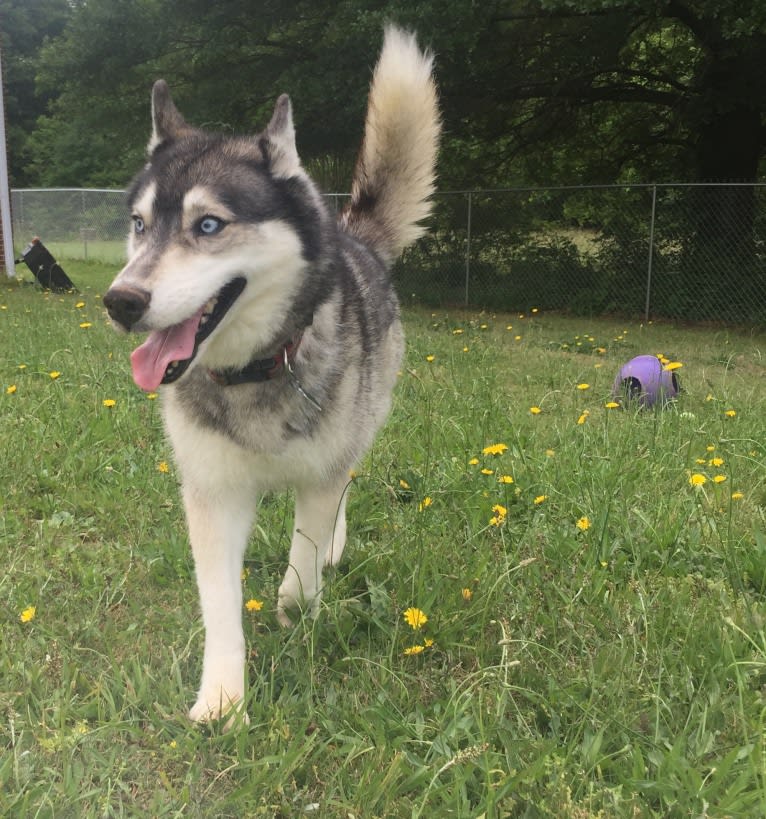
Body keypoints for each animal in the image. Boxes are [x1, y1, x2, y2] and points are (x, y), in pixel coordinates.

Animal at [103, 25, 438, 720]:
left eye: (208, 224)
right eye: (140, 225)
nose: (120, 302)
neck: (252, 371)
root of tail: (355, 238)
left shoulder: (320, 471)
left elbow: (304, 554)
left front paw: (295, 608)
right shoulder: (212, 492)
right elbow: (219, 603)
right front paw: (223, 699)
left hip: (363, 418)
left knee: (344, 485)